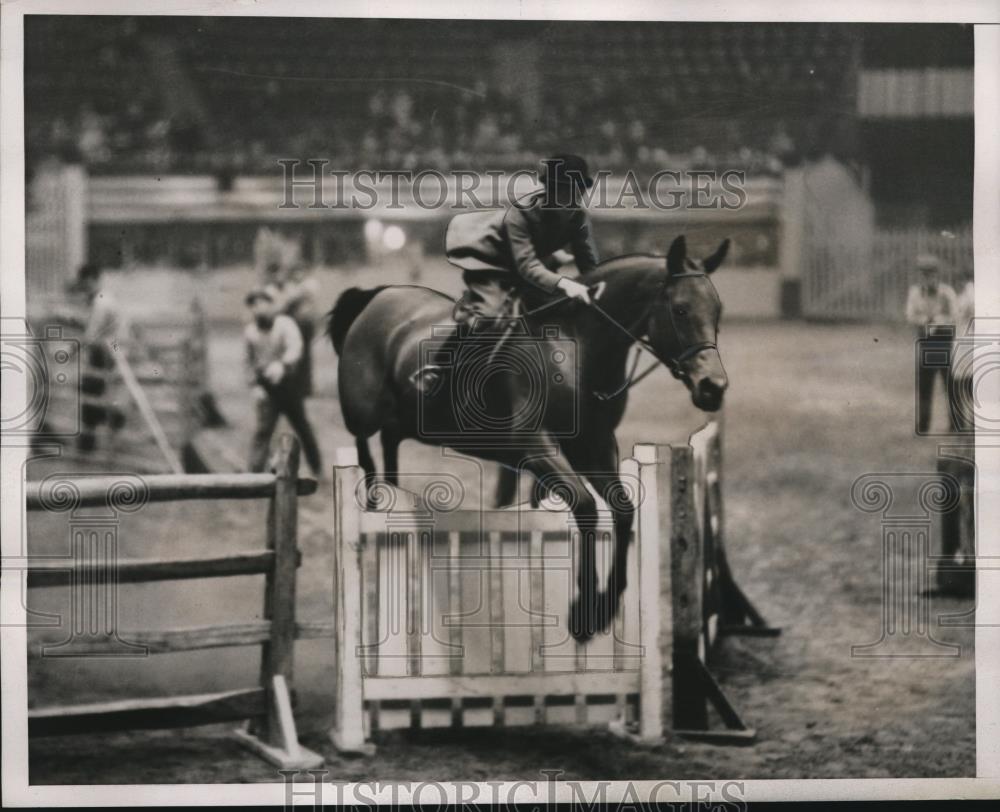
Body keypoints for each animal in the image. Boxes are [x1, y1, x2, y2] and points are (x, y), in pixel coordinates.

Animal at [328, 235, 728, 640]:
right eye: (680, 310)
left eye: (717, 310)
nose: (713, 388)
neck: (575, 348)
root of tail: (379, 296)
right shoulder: (535, 446)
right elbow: (586, 505)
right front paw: (583, 612)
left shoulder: (596, 445)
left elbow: (623, 509)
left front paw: (606, 605)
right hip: (362, 411)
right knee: (364, 446)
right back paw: (375, 495)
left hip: (408, 420)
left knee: (391, 439)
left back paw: (392, 491)